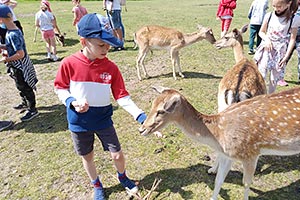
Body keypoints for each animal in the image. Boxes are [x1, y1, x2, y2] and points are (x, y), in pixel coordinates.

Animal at [139, 86, 300, 200]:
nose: (142, 129)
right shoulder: (228, 155)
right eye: (152, 104)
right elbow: (219, 180)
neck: (219, 134)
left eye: (161, 111)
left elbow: (246, 183)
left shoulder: (251, 154)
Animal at [209, 24, 268, 173]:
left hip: (222, 104)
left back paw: (212, 169)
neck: (242, 59)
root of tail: (236, 91)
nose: (216, 43)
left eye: (226, 37)